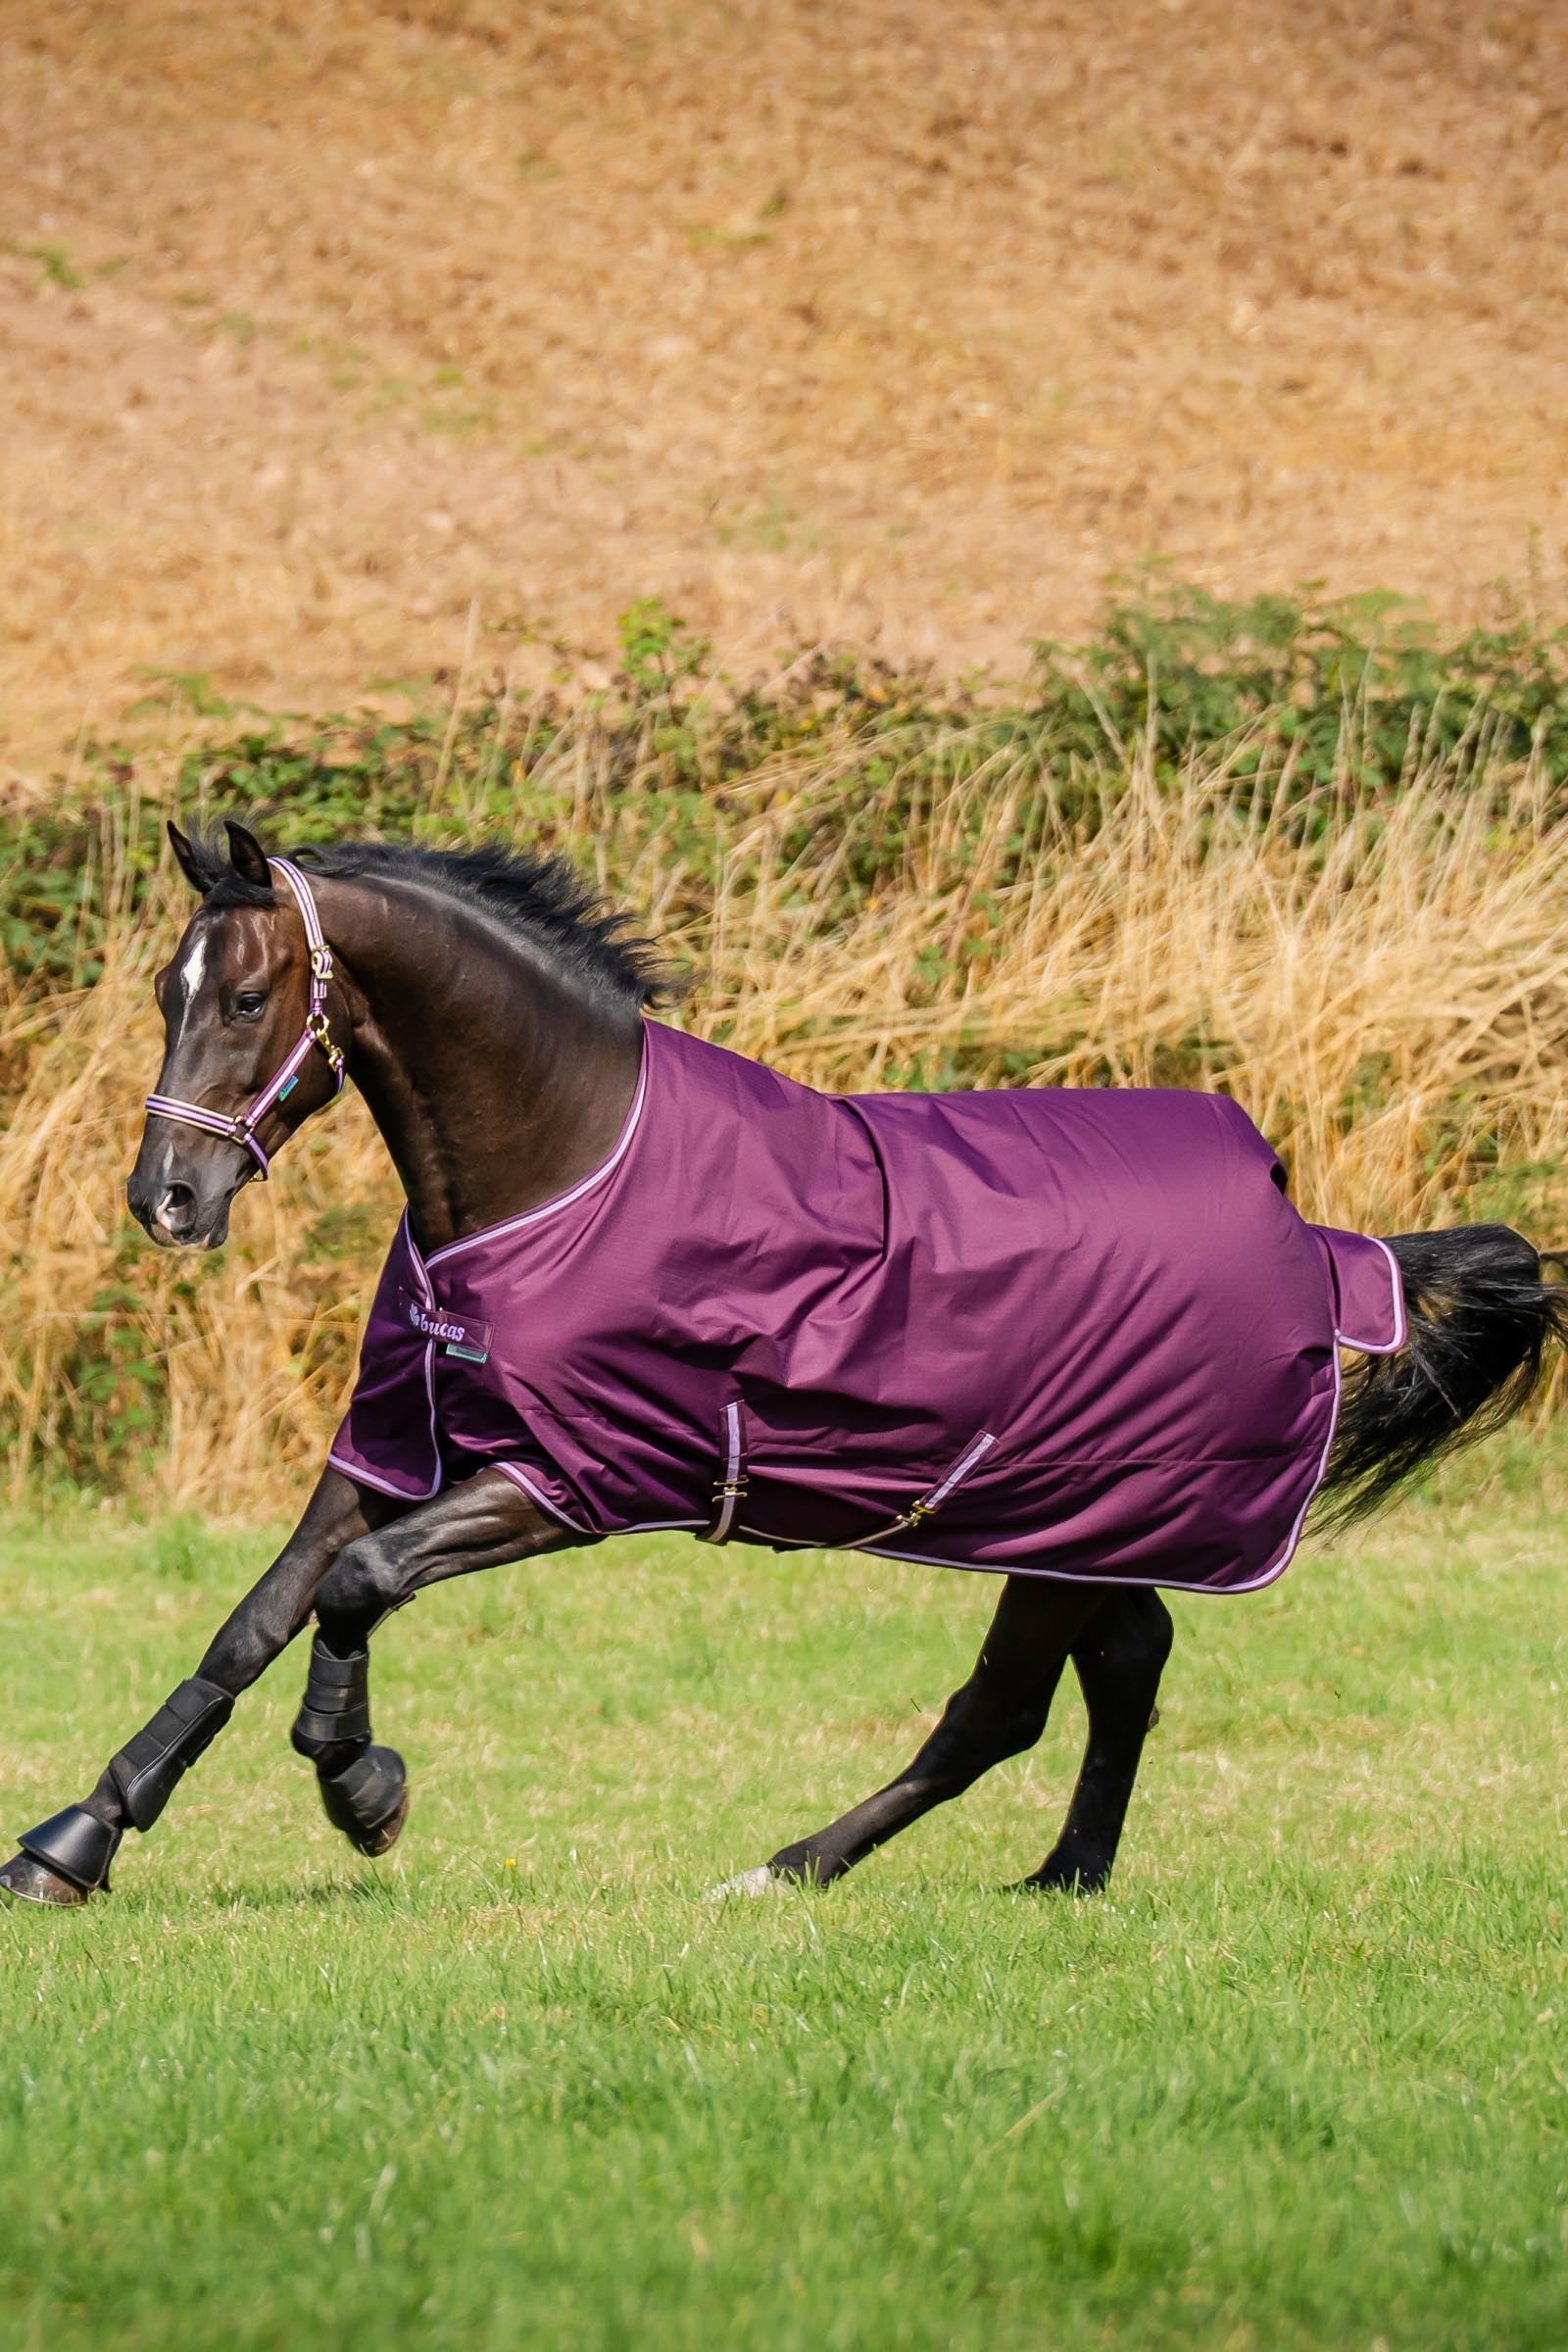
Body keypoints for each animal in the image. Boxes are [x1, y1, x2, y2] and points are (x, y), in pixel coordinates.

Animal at [3, 818, 1562, 1908]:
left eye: (249, 998)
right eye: (164, 992)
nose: (166, 1201)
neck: (561, 1169)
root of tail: (1311, 1227)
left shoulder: (572, 1478)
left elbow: (356, 1589)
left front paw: (364, 1792)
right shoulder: (398, 1442)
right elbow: (255, 1619)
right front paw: (72, 1844)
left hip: (1071, 1512)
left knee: (1003, 1708)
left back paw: (789, 1868)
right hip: (1090, 1523)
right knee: (1123, 1666)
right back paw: (1059, 1876)